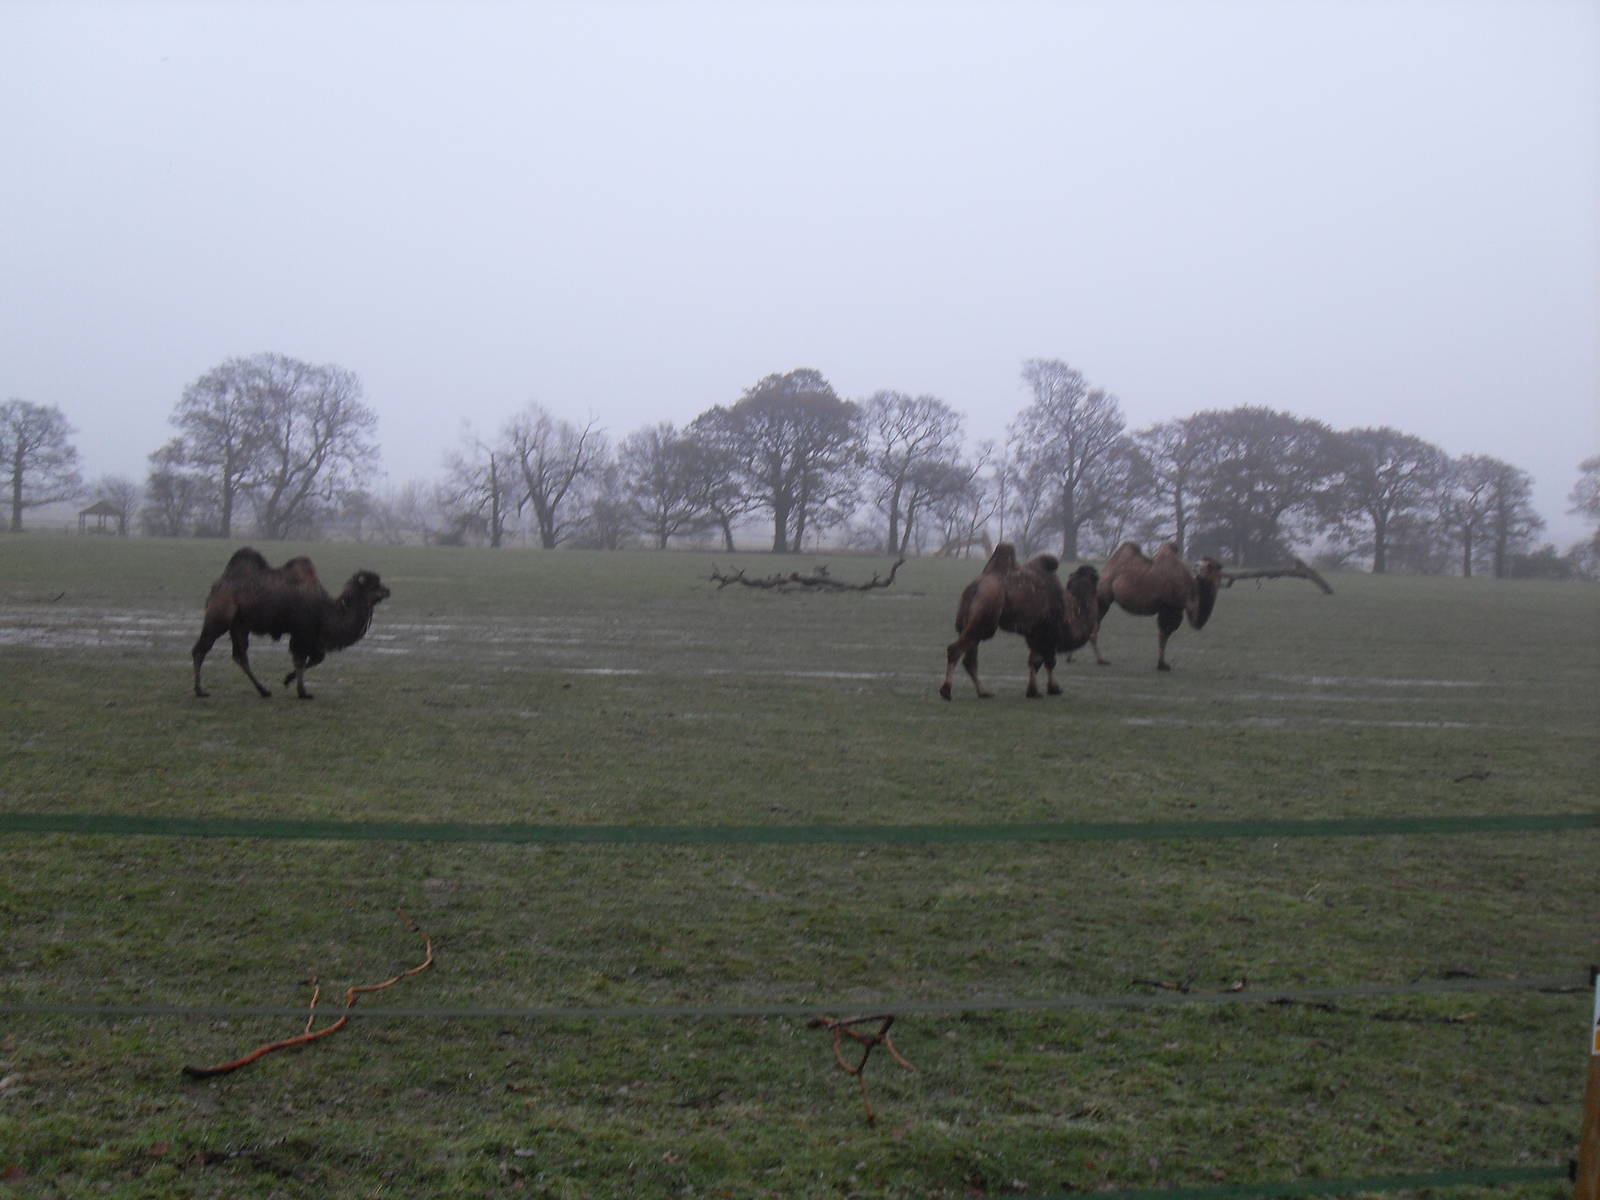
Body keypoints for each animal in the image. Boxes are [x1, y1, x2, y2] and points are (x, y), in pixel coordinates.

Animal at [192, 547, 391, 699]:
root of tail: (218, 585)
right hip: (220, 618)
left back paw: (264, 690)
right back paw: (200, 691)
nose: (388, 591)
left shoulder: (307, 635)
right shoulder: (302, 633)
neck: (325, 610)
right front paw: (302, 691)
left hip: (240, 625)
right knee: (201, 649)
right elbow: (303, 659)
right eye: (374, 586)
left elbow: (314, 658)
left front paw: (290, 682)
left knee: (240, 655)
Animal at [940, 542, 1100, 700]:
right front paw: (1053, 689)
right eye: (1096, 578)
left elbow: (1034, 661)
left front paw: (1033, 691)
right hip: (985, 618)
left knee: (969, 659)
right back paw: (946, 691)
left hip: (968, 622)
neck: (1069, 612)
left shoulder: (1034, 634)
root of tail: (975, 588)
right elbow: (1048, 661)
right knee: (955, 650)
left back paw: (984, 692)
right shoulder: (1048, 632)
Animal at [1090, 541, 1221, 671]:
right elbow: (1163, 635)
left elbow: (1165, 635)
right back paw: (1101, 660)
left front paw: (1162, 663)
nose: (1196, 566)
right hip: (1103, 598)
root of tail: (1104, 570)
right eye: (1205, 566)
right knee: (1095, 627)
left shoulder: (1174, 610)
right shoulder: (1169, 608)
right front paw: (1162, 665)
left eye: (1216, 571)